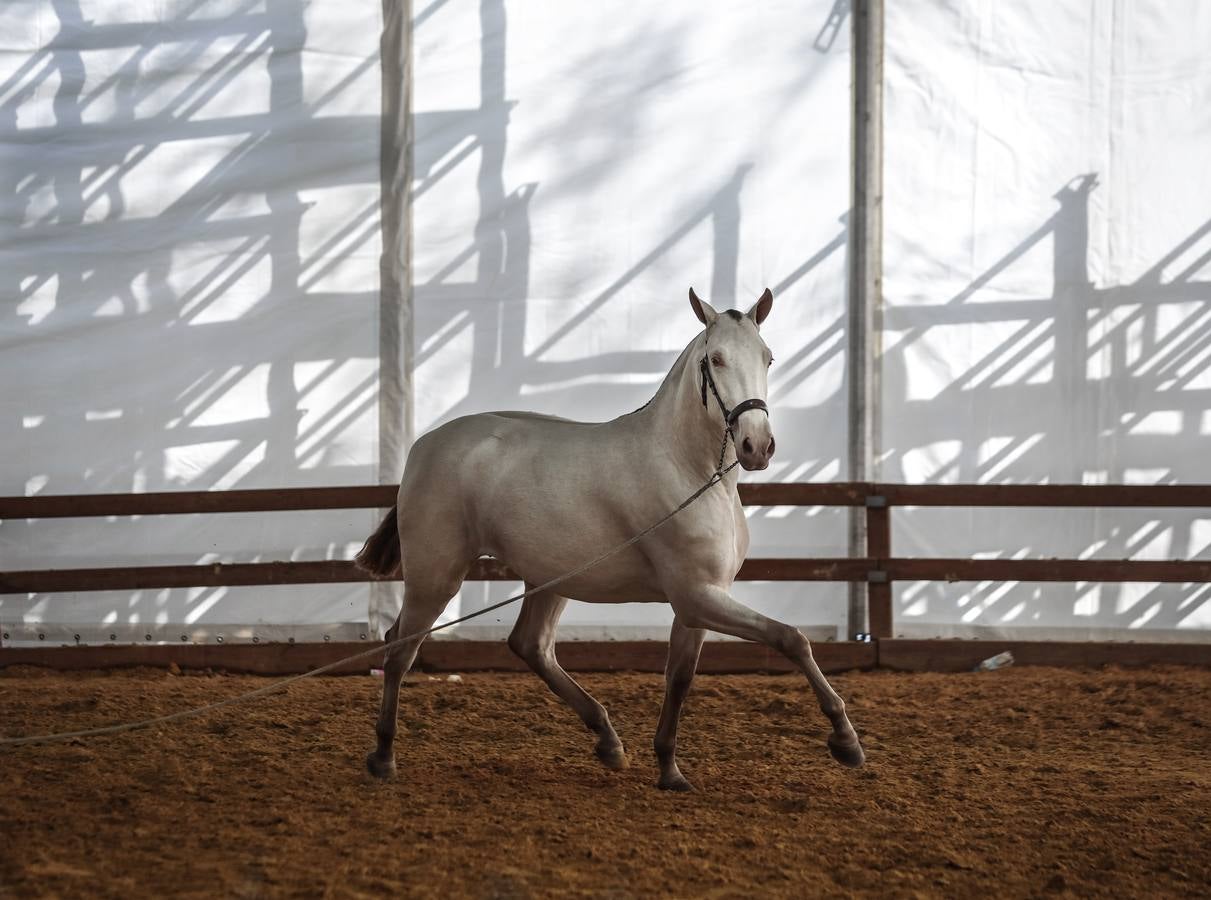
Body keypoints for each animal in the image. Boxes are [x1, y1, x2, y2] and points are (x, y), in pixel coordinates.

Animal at [353, 290, 867, 789]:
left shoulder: (700, 600)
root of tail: (425, 446)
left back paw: (608, 740)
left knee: (530, 645)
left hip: (550, 579)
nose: (757, 446)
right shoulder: (697, 596)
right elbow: (791, 639)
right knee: (399, 650)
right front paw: (846, 741)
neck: (688, 469)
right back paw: (383, 756)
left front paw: (669, 769)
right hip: (436, 576)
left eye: (767, 356)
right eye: (716, 359)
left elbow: (680, 678)